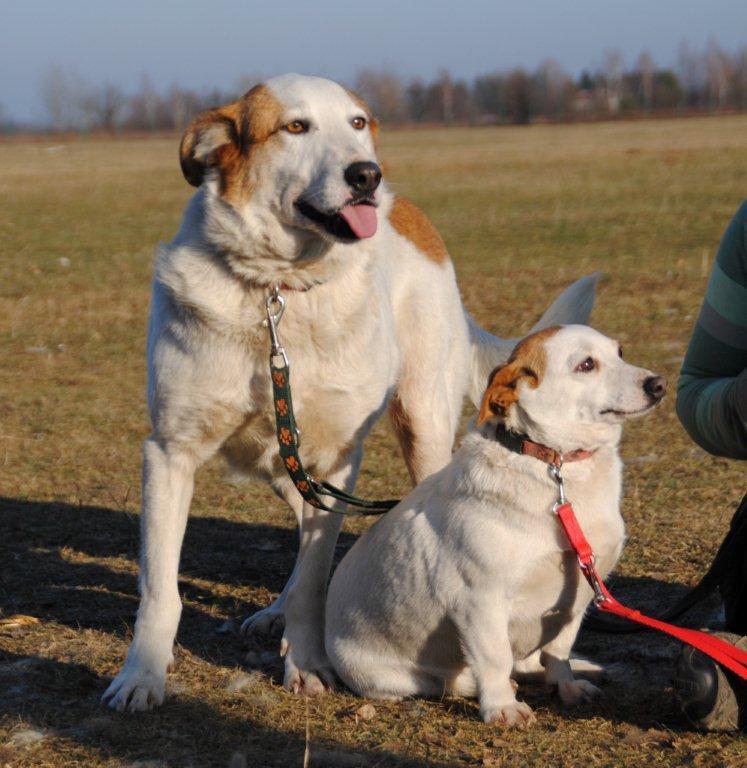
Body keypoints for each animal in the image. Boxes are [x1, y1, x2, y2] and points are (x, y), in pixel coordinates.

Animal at [102, 75, 600, 712]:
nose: (367, 175)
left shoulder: (339, 456)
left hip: (419, 427)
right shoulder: (170, 451)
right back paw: (276, 613)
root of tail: (407, 209)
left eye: (358, 122)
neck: (277, 289)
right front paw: (141, 674)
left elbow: (316, 575)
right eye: (295, 126)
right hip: (286, 462)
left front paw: (308, 662)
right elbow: (161, 586)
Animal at [326, 324, 668, 728]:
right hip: (390, 678)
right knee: (446, 681)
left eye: (619, 352)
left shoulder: (578, 597)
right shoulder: (479, 600)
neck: (558, 469)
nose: (659, 384)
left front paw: (566, 686)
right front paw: (502, 706)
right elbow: (494, 658)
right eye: (587, 364)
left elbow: (559, 650)